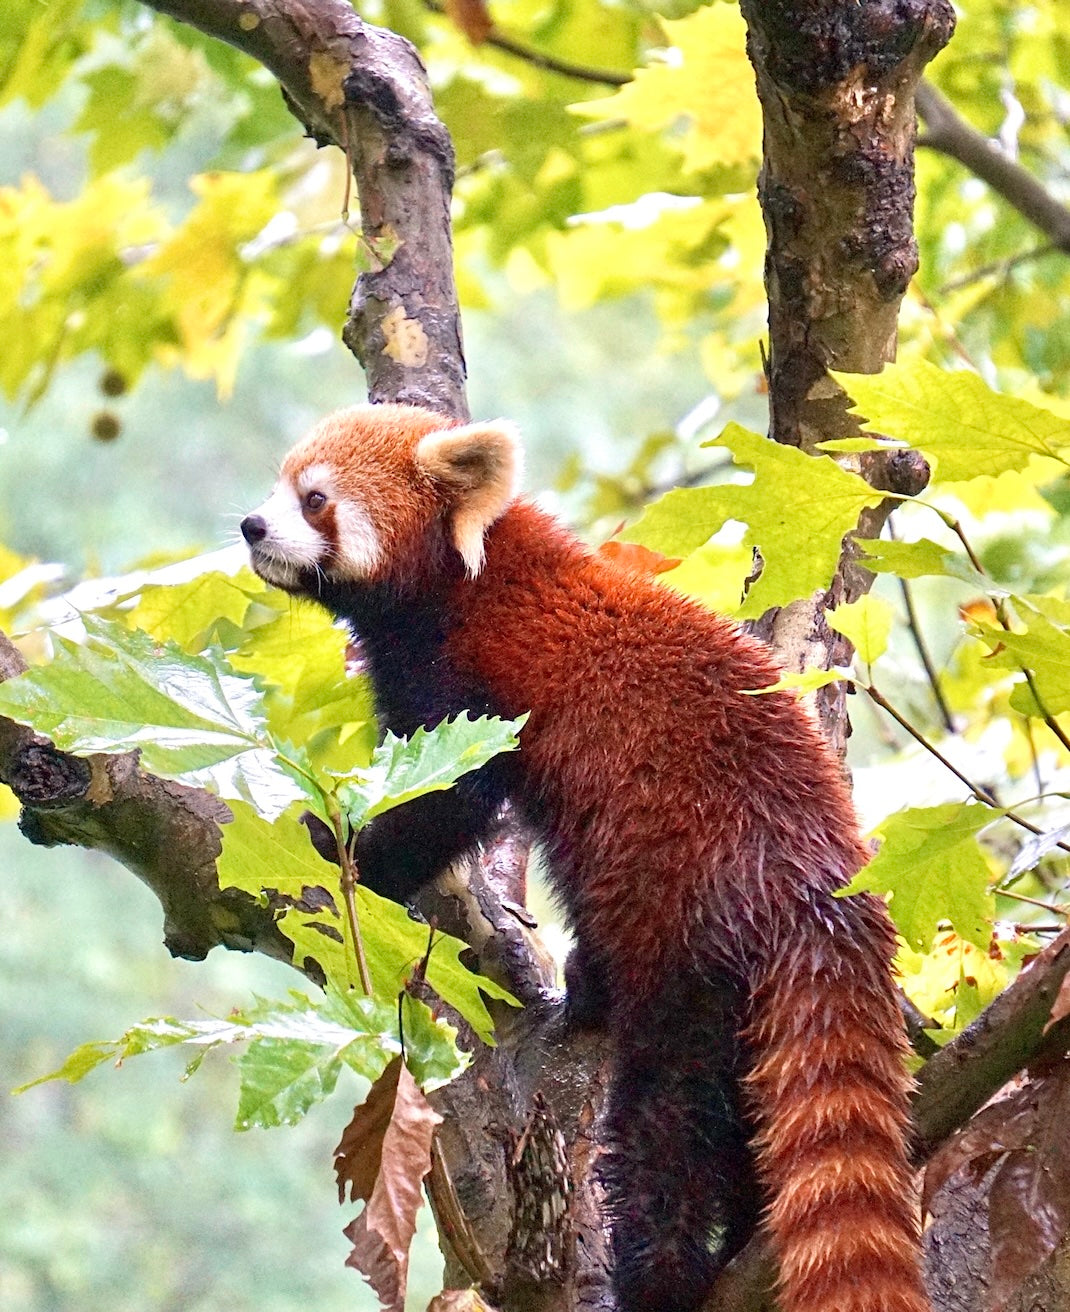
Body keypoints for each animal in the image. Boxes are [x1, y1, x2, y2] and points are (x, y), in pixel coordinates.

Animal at [242, 404, 928, 1312]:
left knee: (667, 1115)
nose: (250, 526)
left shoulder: (468, 684)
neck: (465, 579)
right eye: (280, 485)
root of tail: (817, 879)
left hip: (681, 915)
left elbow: (447, 803)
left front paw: (345, 848)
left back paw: (660, 1269)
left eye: (314, 499)